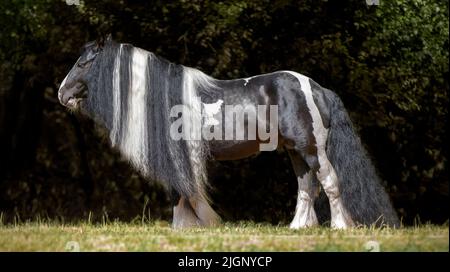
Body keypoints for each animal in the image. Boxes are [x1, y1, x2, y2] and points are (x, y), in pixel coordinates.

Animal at [58, 35, 400, 228]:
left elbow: (185, 191)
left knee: (328, 181)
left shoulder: (182, 154)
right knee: (306, 186)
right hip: (295, 151)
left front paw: (203, 225)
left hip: (311, 148)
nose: (61, 93)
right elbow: (179, 192)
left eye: (83, 64)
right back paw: (298, 228)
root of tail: (317, 88)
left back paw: (340, 227)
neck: (166, 96)